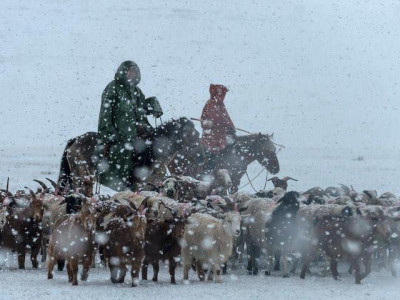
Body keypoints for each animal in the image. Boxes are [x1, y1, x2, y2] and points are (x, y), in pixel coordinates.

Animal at [57, 117, 206, 192]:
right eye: (190, 135)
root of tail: (75, 140)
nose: (202, 158)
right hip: (81, 179)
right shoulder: (138, 187)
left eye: (198, 134)